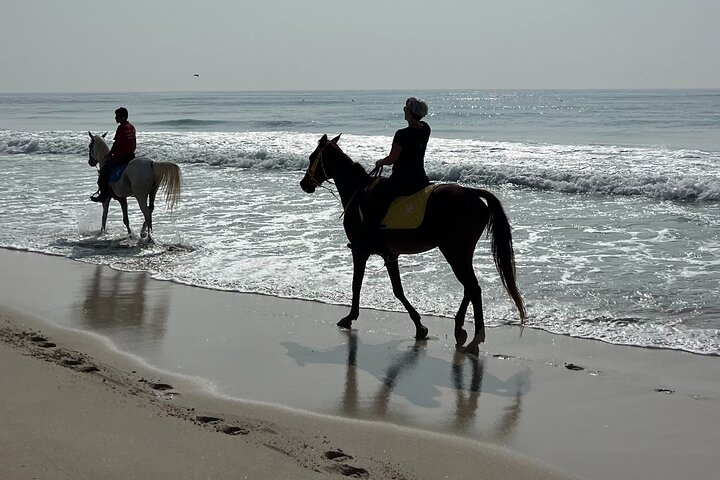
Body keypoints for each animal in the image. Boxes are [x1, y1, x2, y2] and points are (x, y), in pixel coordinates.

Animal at [298, 133, 524, 354]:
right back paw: (460, 328)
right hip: (461, 253)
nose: (304, 184)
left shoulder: (361, 251)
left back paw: (476, 338)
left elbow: (358, 284)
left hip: (454, 251)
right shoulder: (389, 254)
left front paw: (350, 317)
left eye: (312, 157)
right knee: (469, 287)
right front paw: (420, 326)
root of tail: (471, 193)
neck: (359, 191)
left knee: (473, 288)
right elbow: (397, 289)